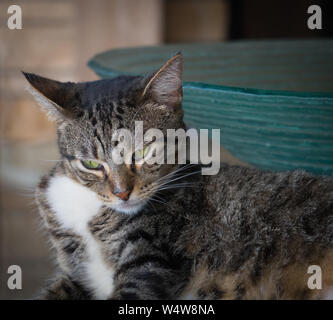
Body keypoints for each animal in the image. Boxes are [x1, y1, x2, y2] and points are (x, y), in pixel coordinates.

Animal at [23, 53, 332, 300]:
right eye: (91, 163)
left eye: (143, 152)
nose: (122, 193)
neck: (91, 209)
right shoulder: (77, 273)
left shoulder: (150, 263)